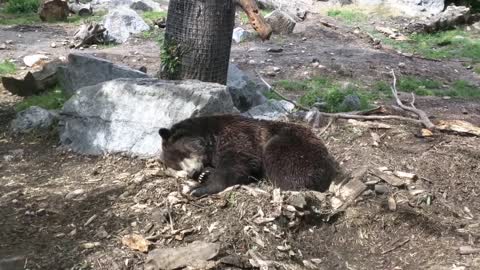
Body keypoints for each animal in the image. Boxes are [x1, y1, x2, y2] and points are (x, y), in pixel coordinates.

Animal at [159, 114, 340, 196]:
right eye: (175, 165)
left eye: (181, 153)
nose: (192, 173)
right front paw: (205, 175)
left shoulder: (238, 136)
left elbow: (238, 163)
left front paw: (198, 188)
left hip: (294, 147)